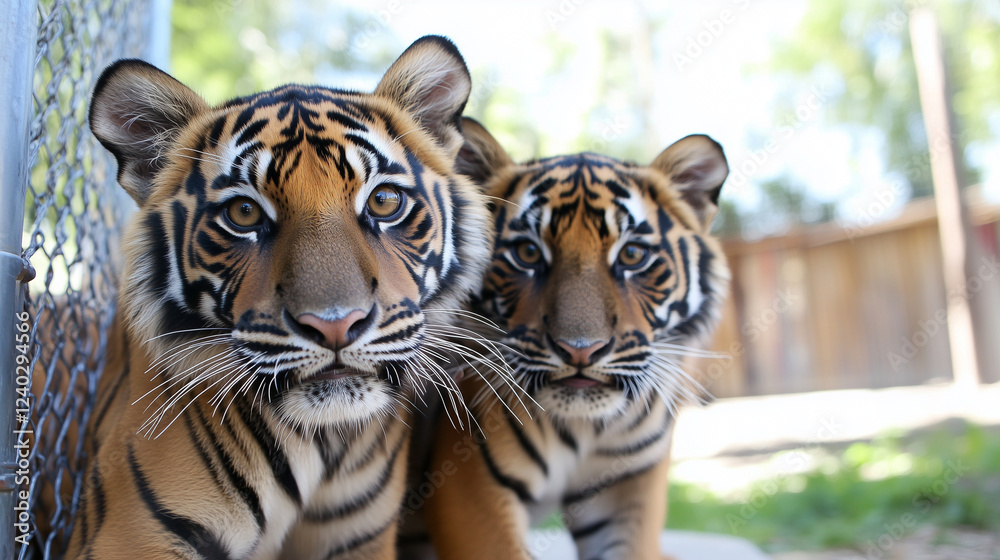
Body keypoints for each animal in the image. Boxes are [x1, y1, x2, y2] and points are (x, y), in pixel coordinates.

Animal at [419, 118, 730, 560]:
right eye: (528, 253)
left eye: (632, 255)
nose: (580, 350)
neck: (587, 430)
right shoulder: (468, 492)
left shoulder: (626, 490)